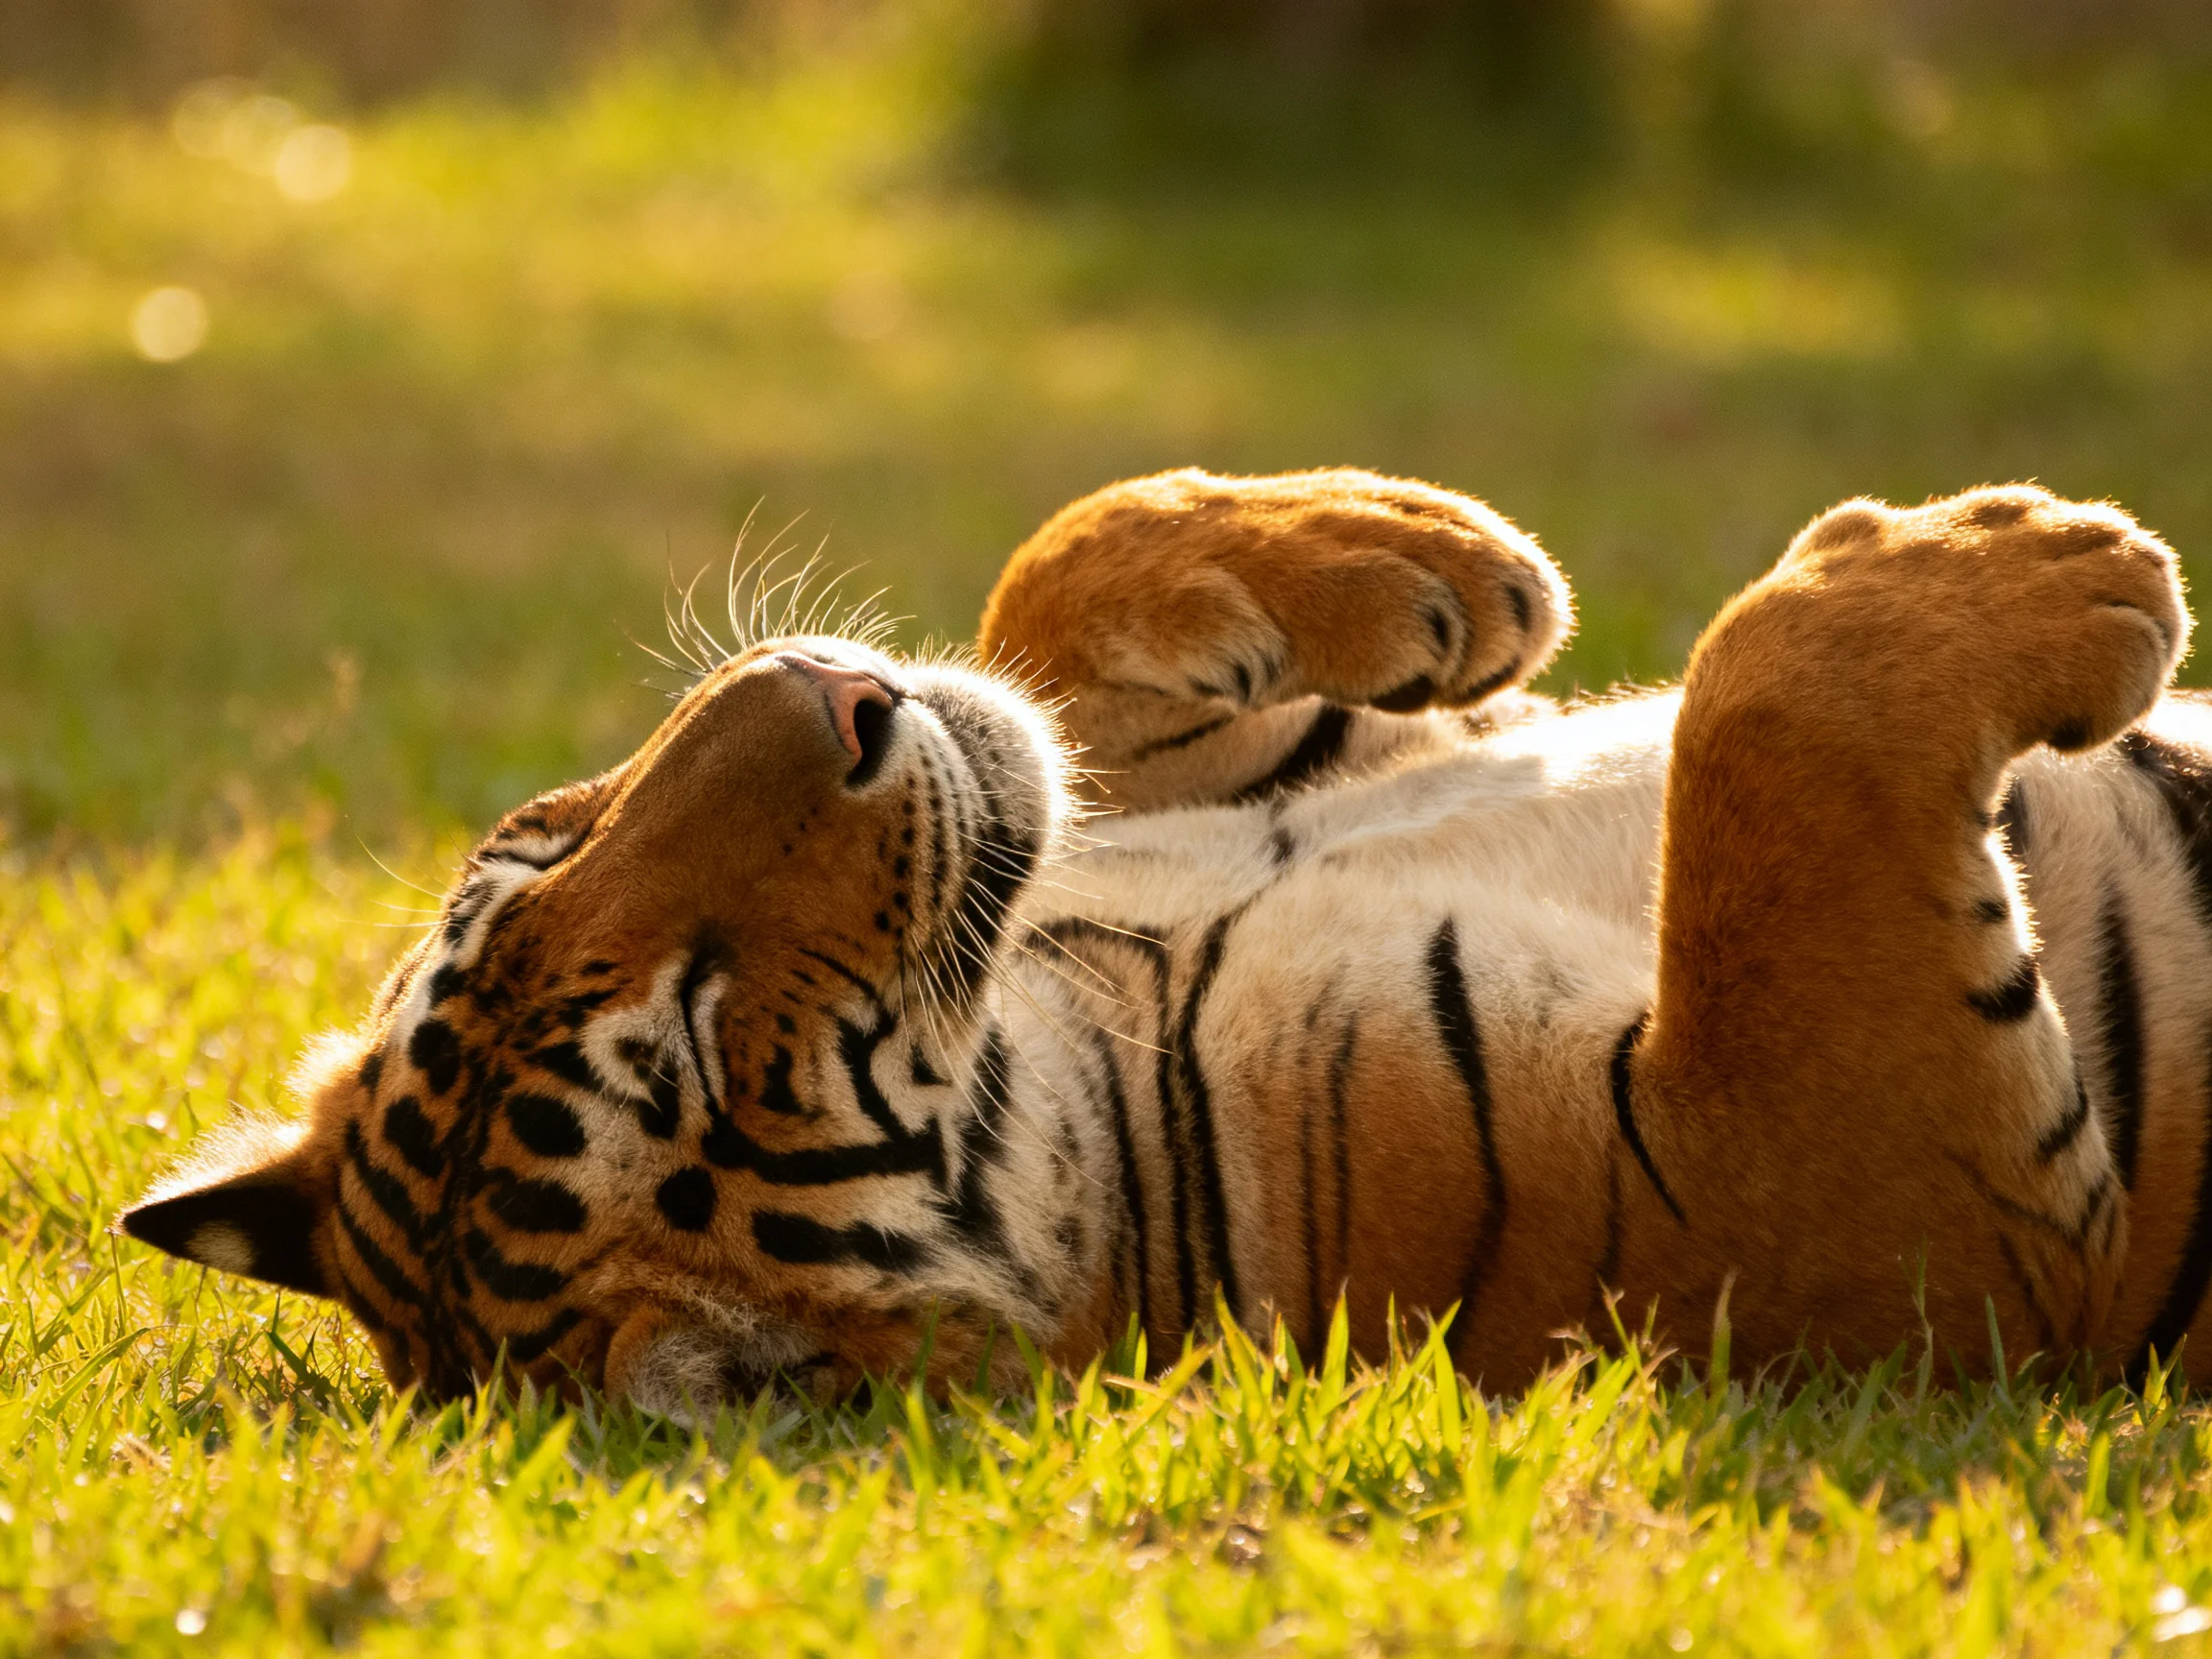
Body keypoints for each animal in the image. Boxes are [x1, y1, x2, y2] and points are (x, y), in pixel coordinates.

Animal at [121, 467, 2212, 1413]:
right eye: (695, 1041)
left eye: (533, 857)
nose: (828, 696)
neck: (1087, 989)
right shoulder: (1841, 1191)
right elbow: (1762, 734)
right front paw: (2016, 567)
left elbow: (1054, 571)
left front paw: (1413, 555)